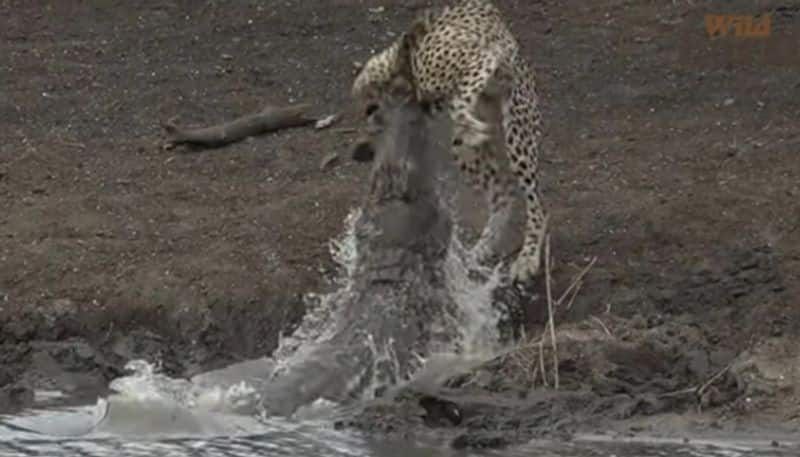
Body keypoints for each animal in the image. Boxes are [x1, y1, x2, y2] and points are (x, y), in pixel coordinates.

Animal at [352, 0, 548, 282]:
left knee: (534, 202)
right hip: (468, 151)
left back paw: (528, 257)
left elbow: (459, 100)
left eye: (369, 111)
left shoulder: (481, 58)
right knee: (504, 192)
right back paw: (480, 250)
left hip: (517, 129)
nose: (359, 152)